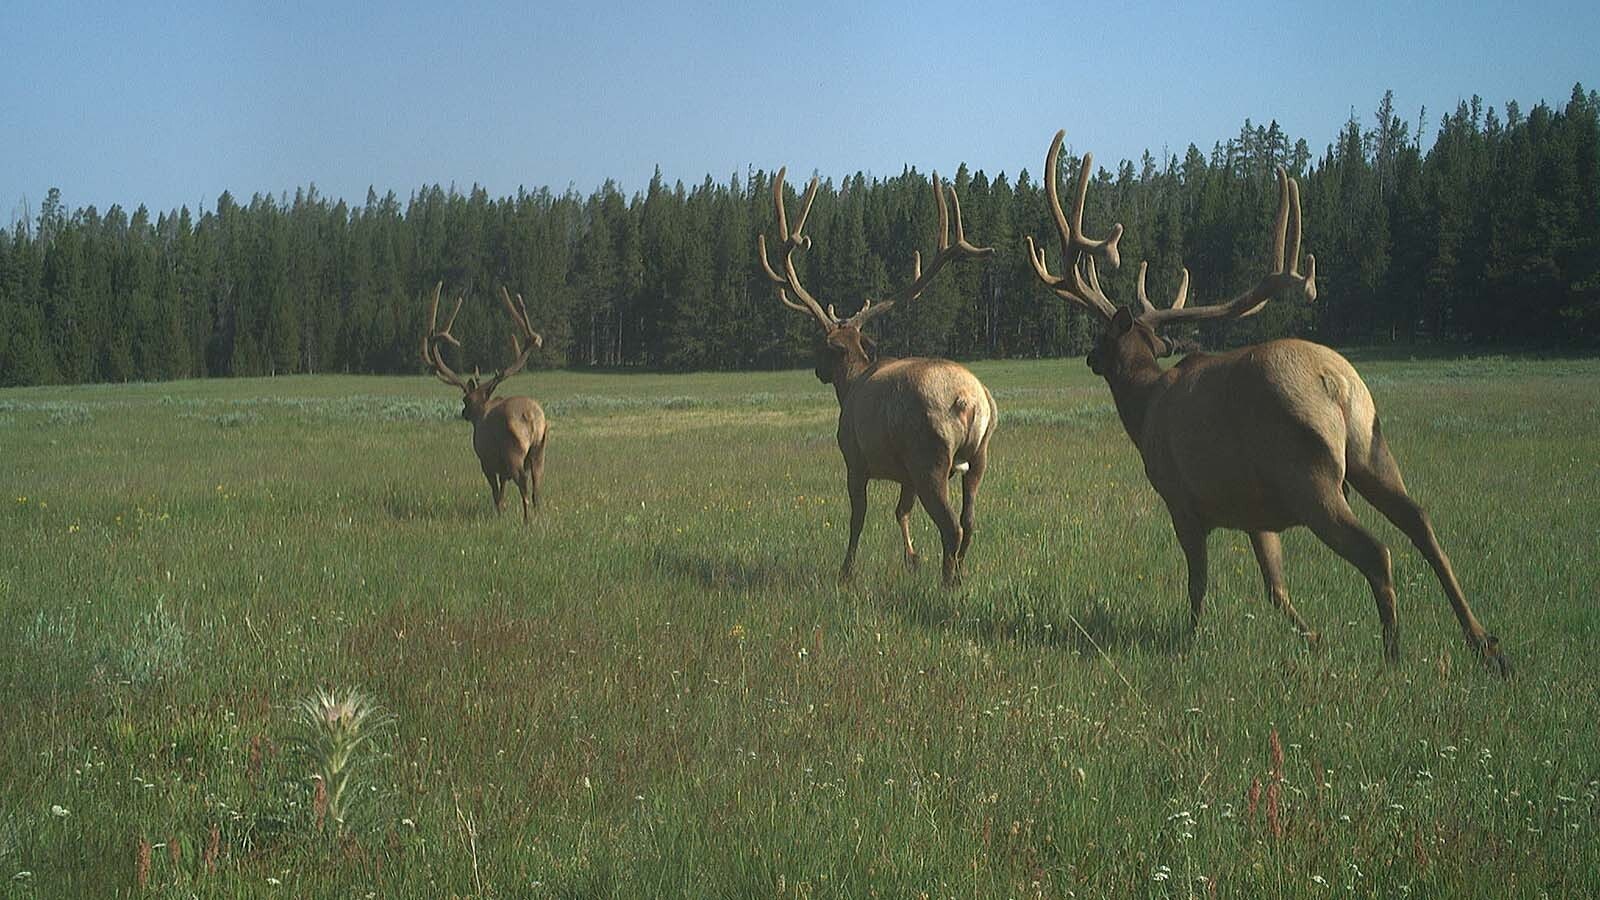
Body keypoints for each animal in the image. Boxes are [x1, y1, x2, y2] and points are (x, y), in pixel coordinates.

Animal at [421, 282, 549, 523]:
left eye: (465, 399)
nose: (463, 412)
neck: (482, 410)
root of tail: (531, 417)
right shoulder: (502, 468)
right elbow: (503, 490)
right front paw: (503, 511)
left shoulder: (487, 461)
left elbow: (496, 492)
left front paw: (499, 513)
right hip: (540, 450)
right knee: (537, 487)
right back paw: (538, 517)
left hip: (515, 451)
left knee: (524, 486)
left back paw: (527, 521)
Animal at [758, 167, 998, 587]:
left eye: (823, 345)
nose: (818, 370)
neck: (850, 383)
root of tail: (971, 401)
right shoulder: (904, 474)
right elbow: (901, 511)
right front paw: (911, 558)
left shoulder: (854, 457)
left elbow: (858, 517)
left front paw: (846, 571)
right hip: (978, 456)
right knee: (969, 521)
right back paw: (960, 573)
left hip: (929, 455)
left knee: (951, 526)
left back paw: (948, 582)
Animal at [1023, 129, 1507, 675]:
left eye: (1105, 338)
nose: (1089, 357)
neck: (1143, 409)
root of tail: (1335, 382)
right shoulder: (1255, 510)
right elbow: (1276, 589)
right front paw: (1314, 637)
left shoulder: (1180, 496)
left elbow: (1198, 583)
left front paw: (1189, 641)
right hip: (1371, 450)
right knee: (1421, 522)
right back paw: (1486, 643)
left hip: (1310, 475)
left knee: (1377, 551)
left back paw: (1393, 655)